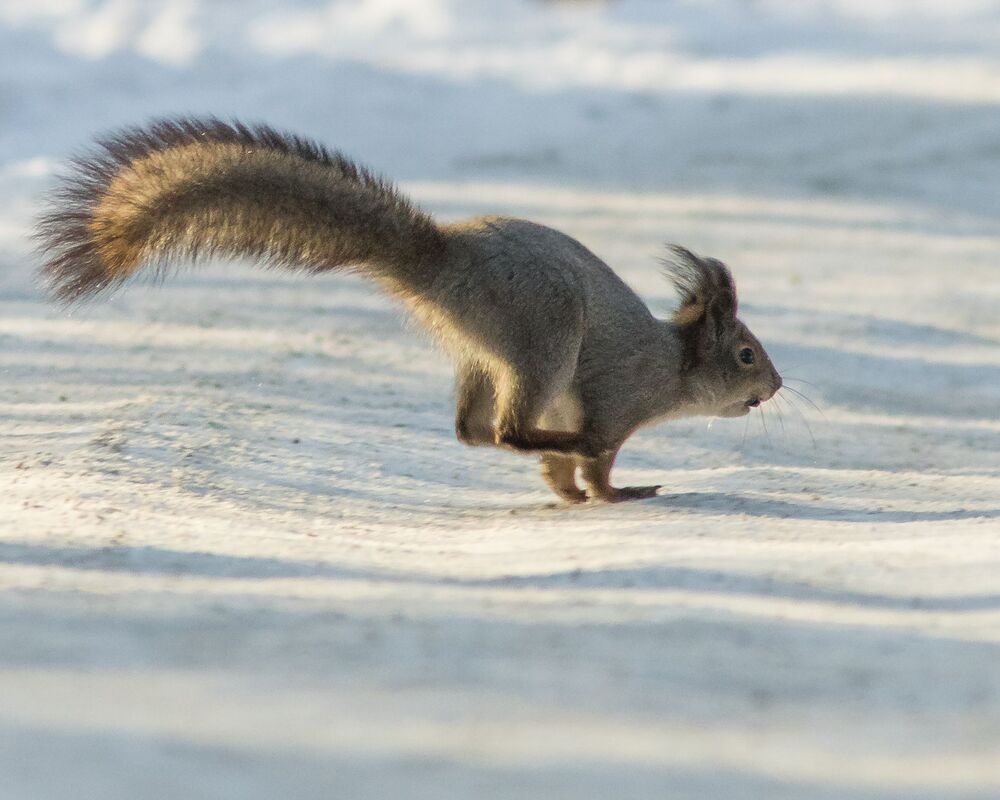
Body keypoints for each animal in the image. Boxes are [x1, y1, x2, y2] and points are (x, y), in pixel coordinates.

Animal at [34, 118, 782, 503]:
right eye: (746, 354)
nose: (775, 387)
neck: (671, 365)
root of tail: (444, 259)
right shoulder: (614, 403)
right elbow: (595, 469)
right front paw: (614, 493)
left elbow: (560, 476)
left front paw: (568, 494)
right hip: (541, 340)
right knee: (508, 429)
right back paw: (562, 444)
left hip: (483, 354)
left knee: (474, 432)